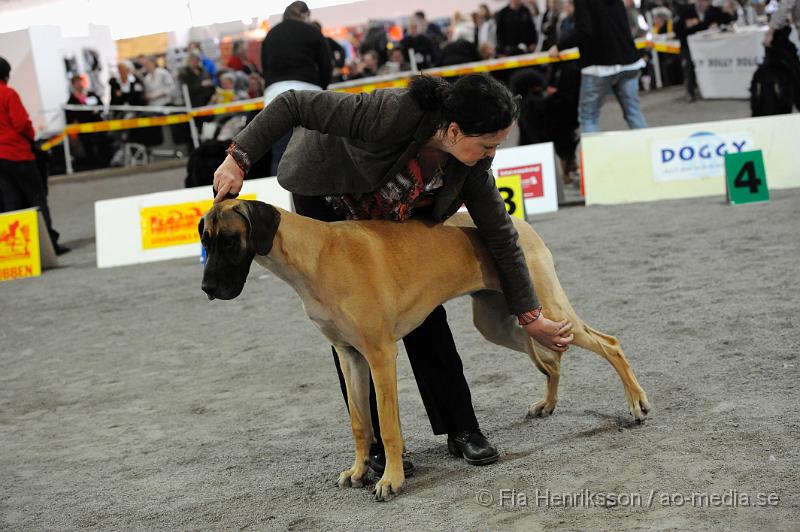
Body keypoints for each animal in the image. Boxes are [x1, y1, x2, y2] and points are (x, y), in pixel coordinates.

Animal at [200, 200, 648, 502]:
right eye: (204, 241)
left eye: (229, 241)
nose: (207, 289)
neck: (315, 254)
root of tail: (515, 221)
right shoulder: (350, 356)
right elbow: (361, 423)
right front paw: (359, 470)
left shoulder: (380, 355)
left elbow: (387, 425)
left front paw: (390, 479)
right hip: (505, 323)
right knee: (552, 358)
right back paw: (547, 405)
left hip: (548, 310)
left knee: (608, 343)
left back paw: (637, 405)